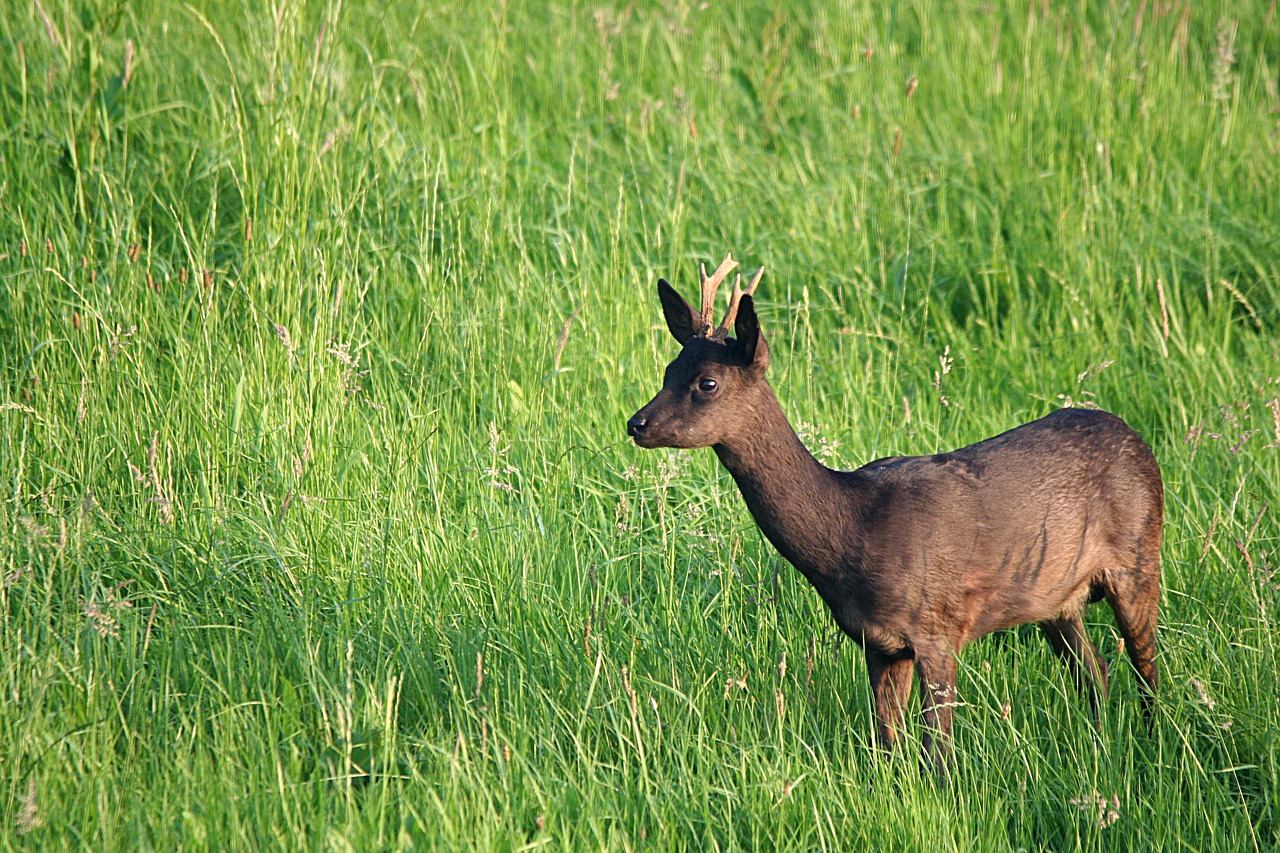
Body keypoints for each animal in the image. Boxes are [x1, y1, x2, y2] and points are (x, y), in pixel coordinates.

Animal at [624, 253, 1167, 763]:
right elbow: (886, 742)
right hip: (1055, 598)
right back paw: (1101, 743)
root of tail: (1138, 439)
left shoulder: (937, 627)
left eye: (707, 382)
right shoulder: (879, 644)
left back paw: (1152, 743)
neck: (851, 532)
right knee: (1095, 671)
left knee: (1147, 669)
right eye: (669, 370)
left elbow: (936, 752)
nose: (636, 423)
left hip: (1140, 554)